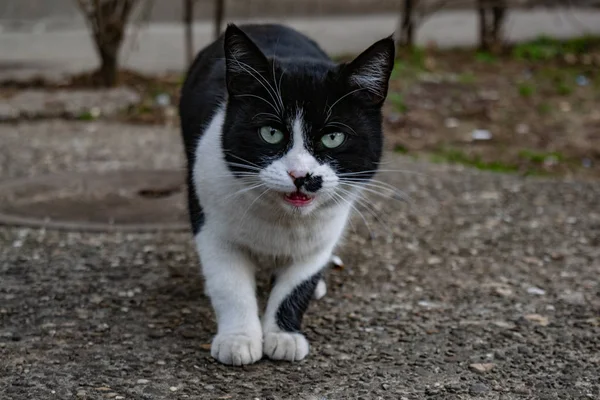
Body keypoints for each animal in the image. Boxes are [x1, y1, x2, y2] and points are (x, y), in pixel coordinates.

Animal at [178, 22, 394, 366]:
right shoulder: (212, 227)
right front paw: (238, 339)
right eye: (271, 133)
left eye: (333, 137)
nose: (301, 175)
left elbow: (297, 285)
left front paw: (283, 335)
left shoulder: (323, 235)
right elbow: (230, 284)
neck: (282, 220)